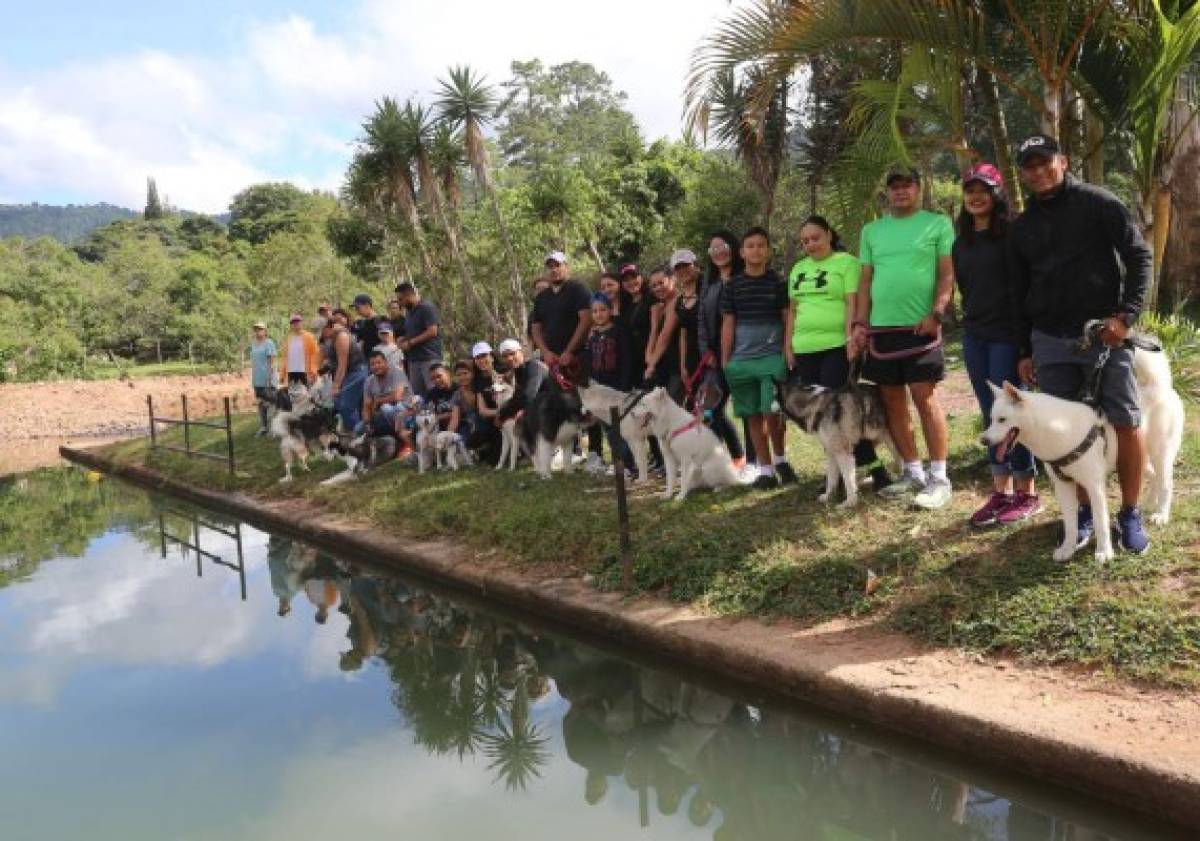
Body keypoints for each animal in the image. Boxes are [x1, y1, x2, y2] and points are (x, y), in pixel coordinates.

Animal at [979, 345, 1185, 561]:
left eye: (1002, 420)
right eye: (992, 419)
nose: (983, 440)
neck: (1053, 429)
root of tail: (1159, 386)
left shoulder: (1095, 485)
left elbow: (1101, 522)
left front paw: (1104, 553)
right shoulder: (1063, 486)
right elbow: (1071, 525)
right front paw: (1068, 549)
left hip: (1159, 454)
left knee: (1166, 483)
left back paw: (1161, 514)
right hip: (1136, 459)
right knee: (1153, 477)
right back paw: (1148, 503)